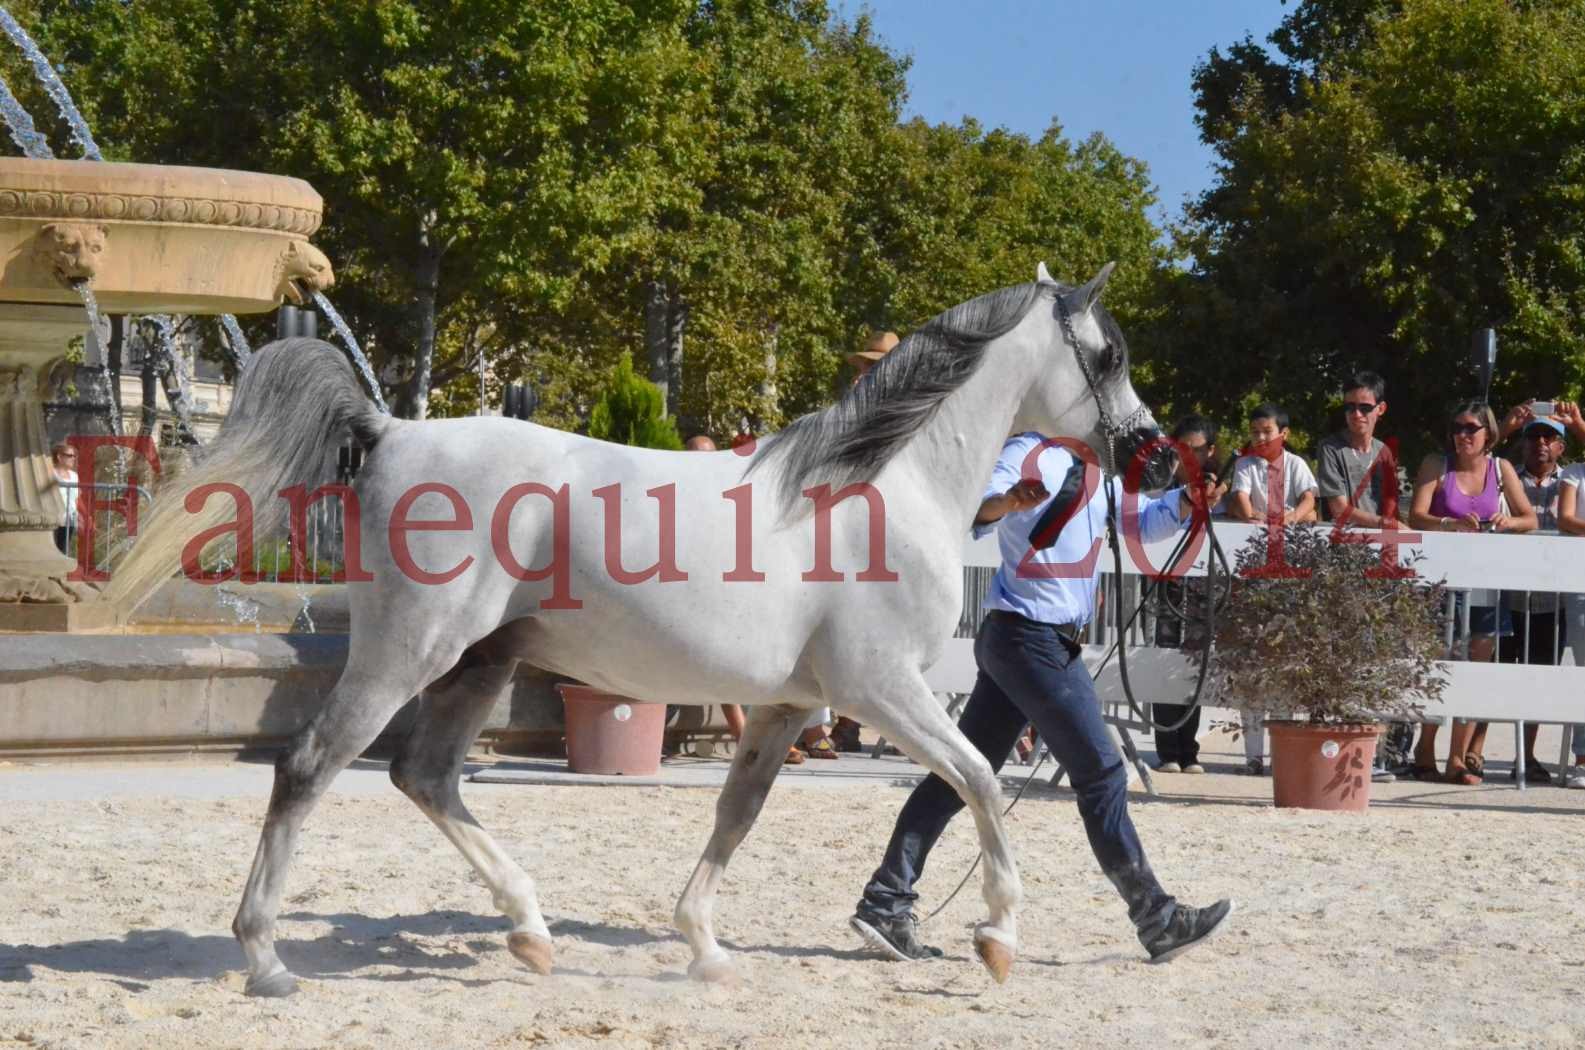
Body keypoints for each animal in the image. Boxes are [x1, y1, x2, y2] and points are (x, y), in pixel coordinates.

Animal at [111, 261, 1172, 996]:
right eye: (1109, 356)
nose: (1154, 453)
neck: (877, 491)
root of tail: (390, 430)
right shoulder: (881, 691)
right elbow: (982, 782)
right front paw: (998, 939)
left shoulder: (787, 709)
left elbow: (737, 815)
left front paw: (704, 948)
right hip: (408, 651)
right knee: (310, 766)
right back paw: (266, 958)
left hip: (480, 663)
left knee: (425, 775)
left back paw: (530, 930)